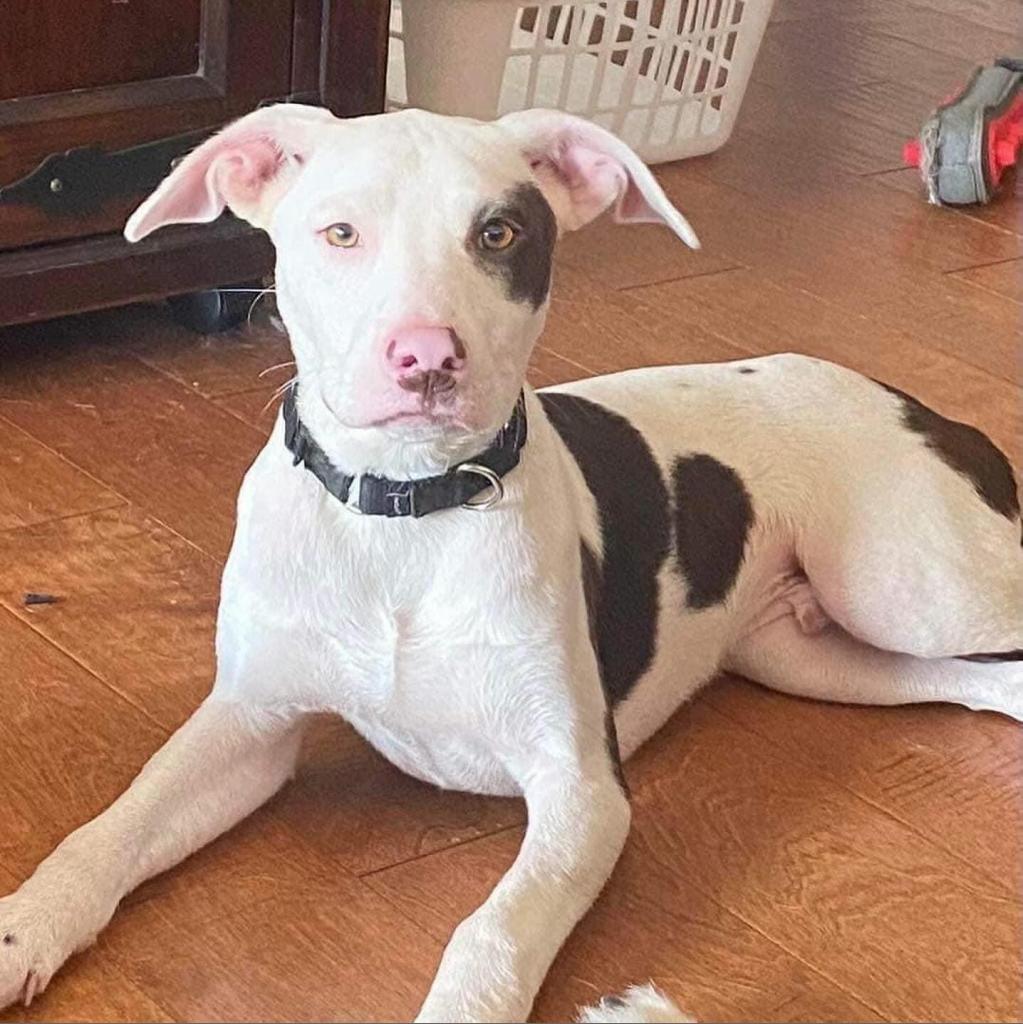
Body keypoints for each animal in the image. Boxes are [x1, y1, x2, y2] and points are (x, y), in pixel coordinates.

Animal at [2, 105, 1023, 1024]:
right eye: (340, 233)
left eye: (499, 234)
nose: (424, 355)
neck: (405, 515)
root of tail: (922, 408)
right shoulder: (250, 723)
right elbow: (111, 827)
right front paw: (24, 930)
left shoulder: (582, 793)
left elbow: (487, 933)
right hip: (820, 656)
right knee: (985, 685)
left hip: (907, 589)